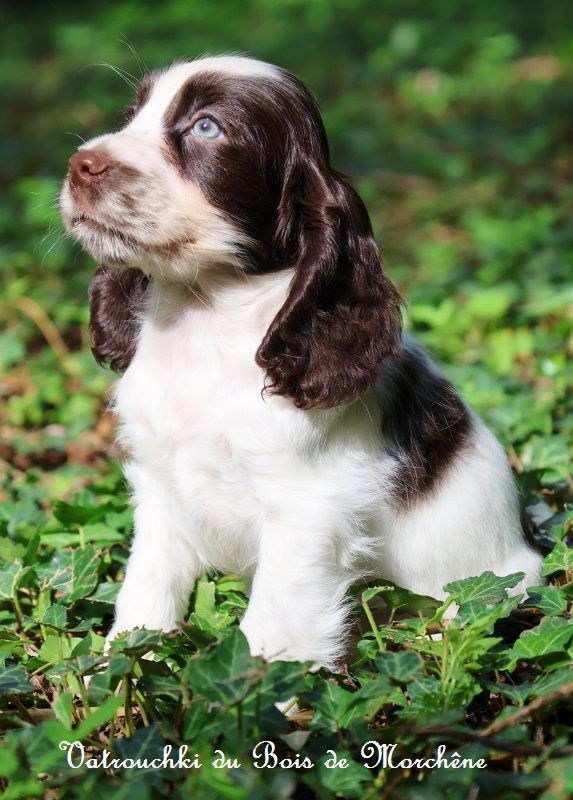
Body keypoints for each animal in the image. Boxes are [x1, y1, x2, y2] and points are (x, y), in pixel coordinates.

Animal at [61, 56, 540, 668]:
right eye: (133, 115)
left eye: (207, 127)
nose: (79, 165)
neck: (203, 320)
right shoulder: (161, 484)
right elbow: (147, 586)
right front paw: (123, 665)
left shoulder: (306, 509)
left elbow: (271, 629)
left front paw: (256, 690)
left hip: (492, 589)